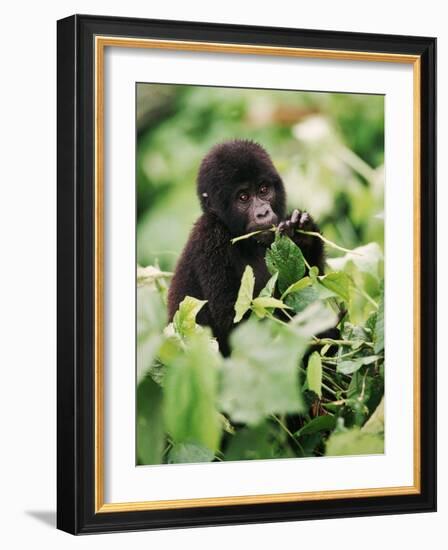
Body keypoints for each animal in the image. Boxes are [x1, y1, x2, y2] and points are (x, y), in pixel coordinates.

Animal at [166, 141, 324, 358]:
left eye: (263, 189)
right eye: (243, 197)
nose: (263, 212)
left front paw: (304, 235)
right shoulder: (209, 236)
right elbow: (239, 324)